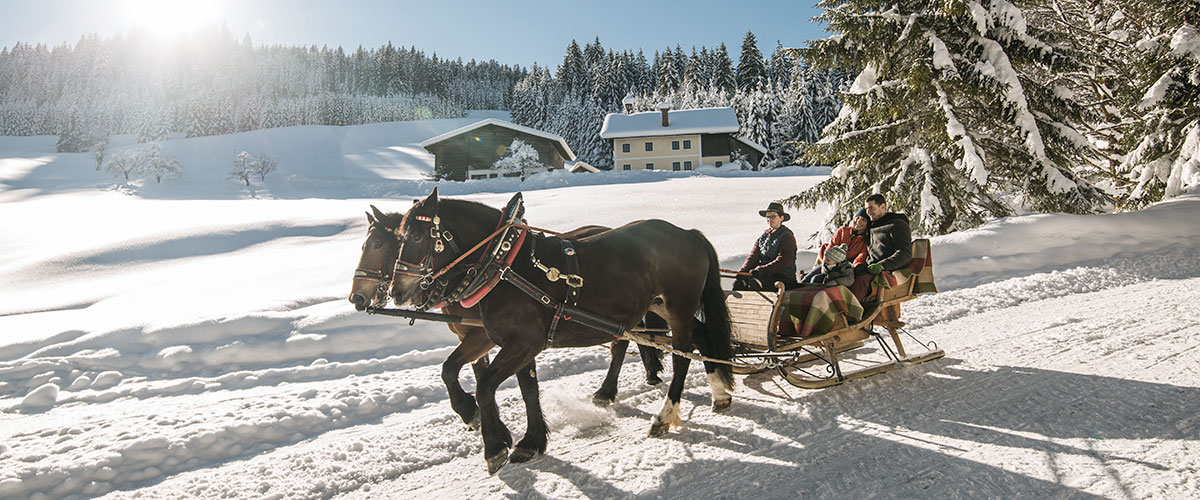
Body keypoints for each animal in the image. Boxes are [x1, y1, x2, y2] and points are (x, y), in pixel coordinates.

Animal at [348, 206, 667, 429]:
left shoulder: (493, 335)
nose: (356, 297)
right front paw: (480, 415)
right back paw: (649, 373)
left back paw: (612, 389)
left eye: (377, 244)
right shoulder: (479, 337)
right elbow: (476, 372)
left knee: (623, 343)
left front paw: (477, 414)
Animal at [388, 187, 734, 472]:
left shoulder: (522, 343)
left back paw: (664, 416)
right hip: (660, 305)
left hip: (679, 305)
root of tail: (688, 233)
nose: (396, 291)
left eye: (417, 237)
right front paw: (524, 439)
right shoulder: (501, 339)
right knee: (699, 337)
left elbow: (486, 385)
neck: (502, 264)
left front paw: (495, 445)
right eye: (398, 238)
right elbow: (475, 376)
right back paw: (719, 392)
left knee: (682, 356)